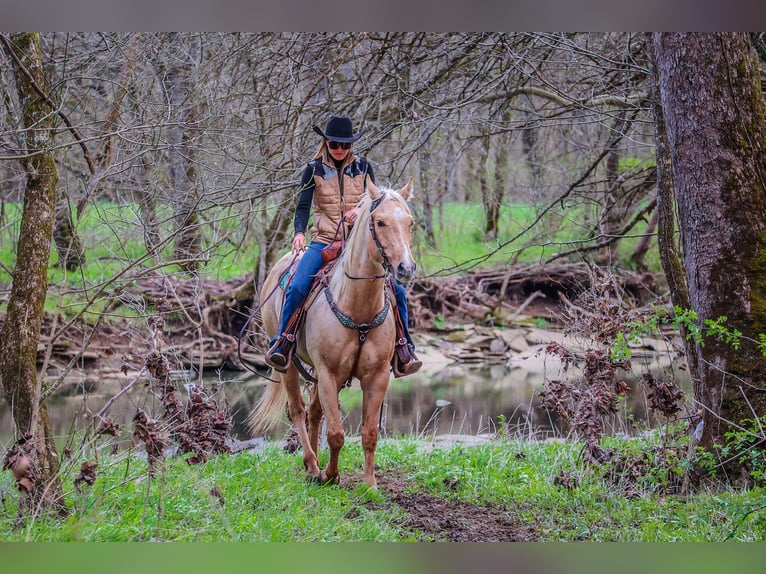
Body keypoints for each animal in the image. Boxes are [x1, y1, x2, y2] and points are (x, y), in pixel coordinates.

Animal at [250, 178, 416, 488]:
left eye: (410, 222)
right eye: (380, 221)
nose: (406, 268)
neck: (358, 308)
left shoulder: (377, 377)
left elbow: (369, 433)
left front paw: (370, 484)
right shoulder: (329, 373)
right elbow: (337, 434)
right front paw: (330, 474)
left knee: (315, 413)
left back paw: (314, 464)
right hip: (290, 366)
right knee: (298, 410)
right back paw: (312, 465)